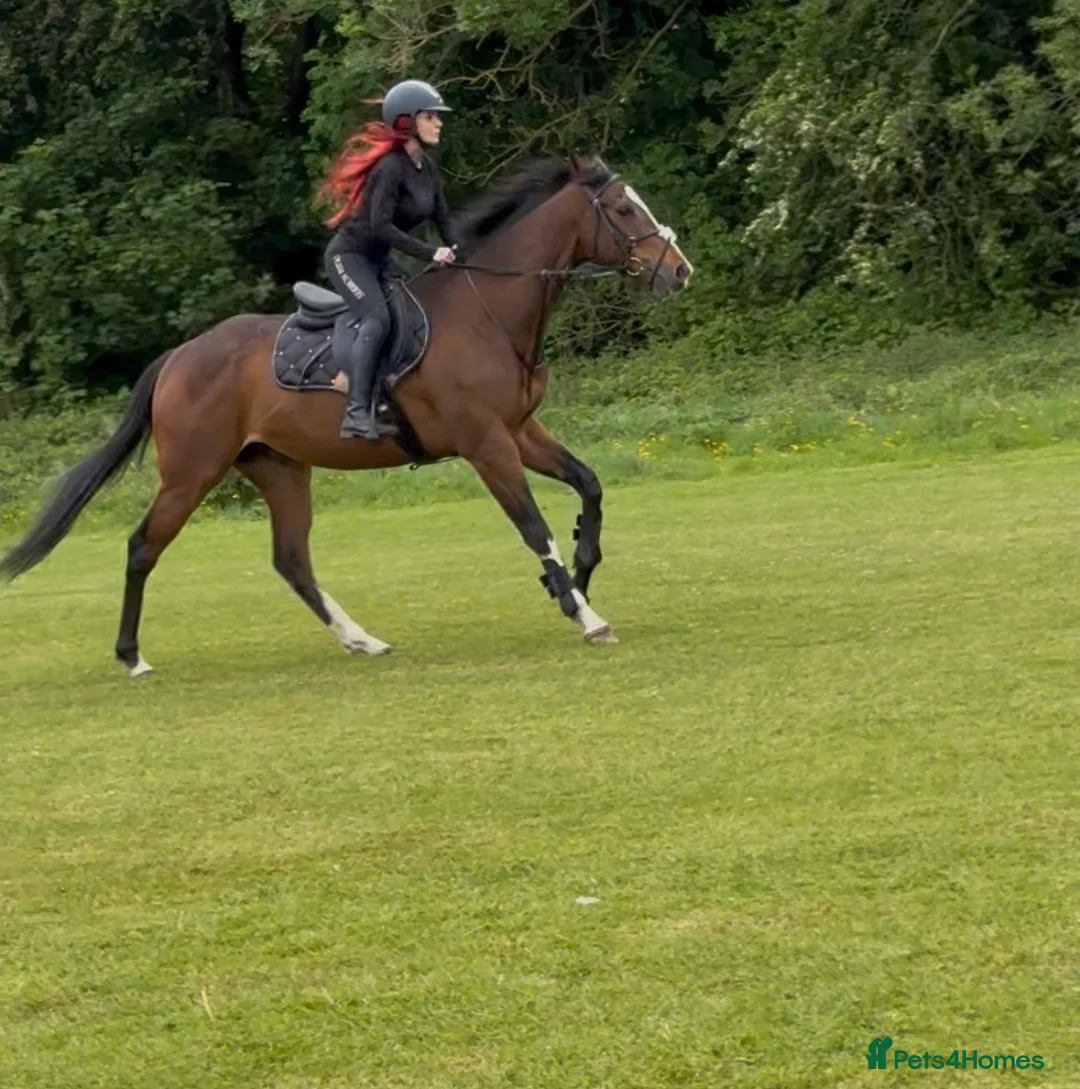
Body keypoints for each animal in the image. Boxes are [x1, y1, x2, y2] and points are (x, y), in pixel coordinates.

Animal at [0, 154, 693, 675]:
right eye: (625, 210)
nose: (680, 272)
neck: (489, 311)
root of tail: (179, 356)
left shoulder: (520, 431)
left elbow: (589, 487)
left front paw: (575, 575)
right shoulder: (485, 443)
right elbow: (532, 526)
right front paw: (585, 613)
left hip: (279, 468)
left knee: (291, 560)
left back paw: (362, 638)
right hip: (192, 472)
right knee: (144, 545)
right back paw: (132, 656)